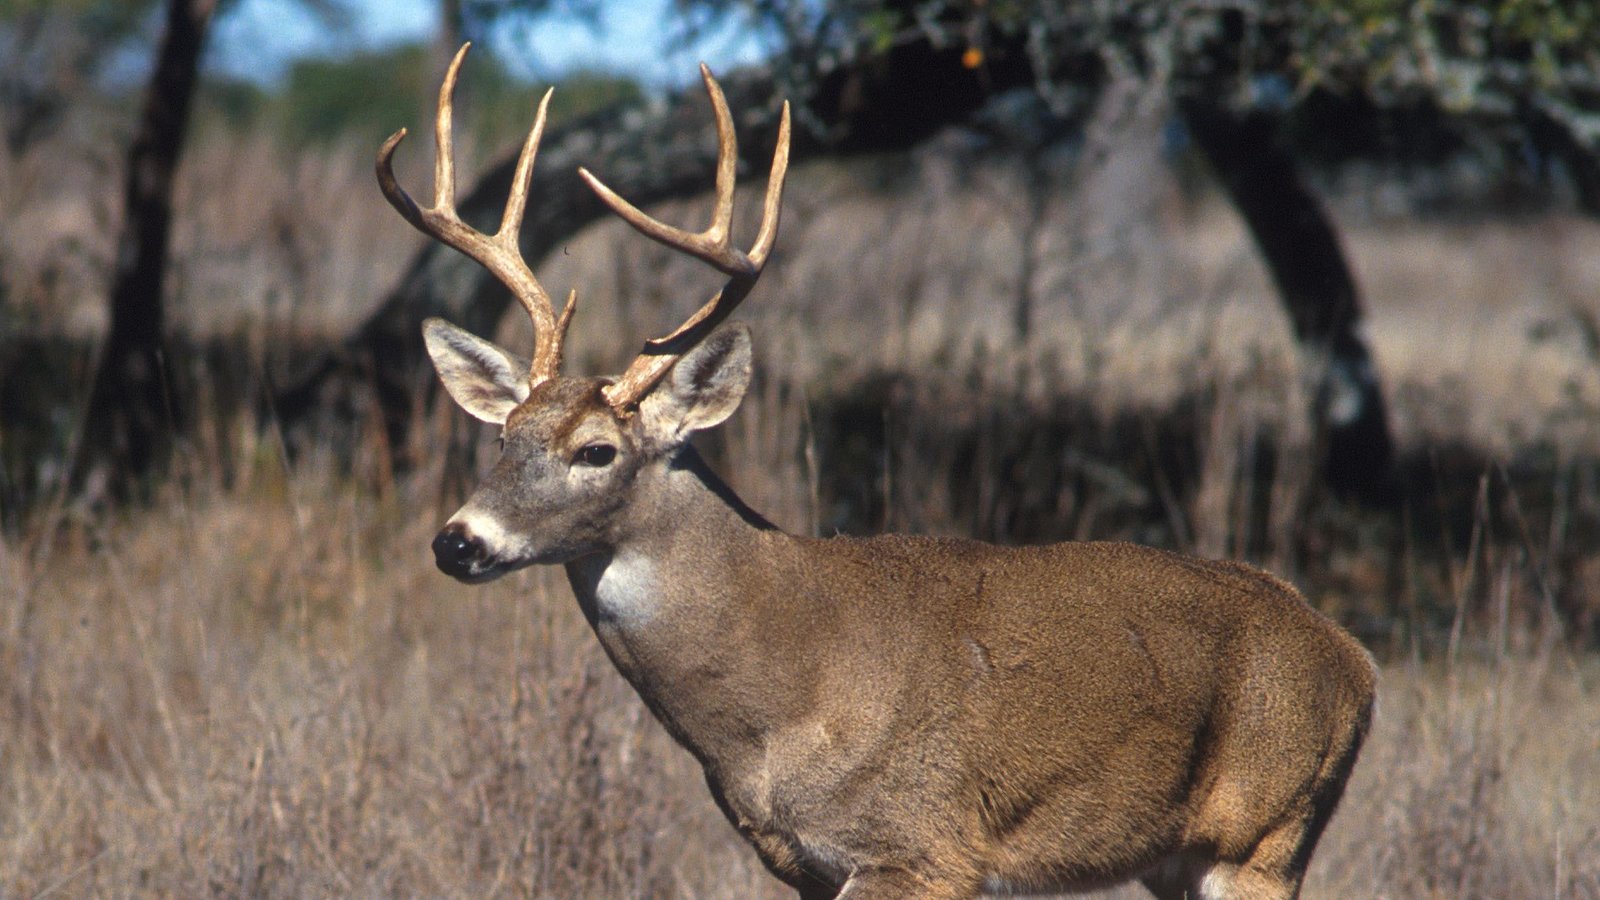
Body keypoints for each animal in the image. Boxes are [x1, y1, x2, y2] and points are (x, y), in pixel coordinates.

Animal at [377, 44, 1377, 900]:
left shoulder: (921, 846)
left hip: (1265, 834)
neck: (781, 694)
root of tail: (1354, 659)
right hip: (1182, 856)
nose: (456, 541)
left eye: (597, 450)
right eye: (504, 438)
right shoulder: (805, 866)